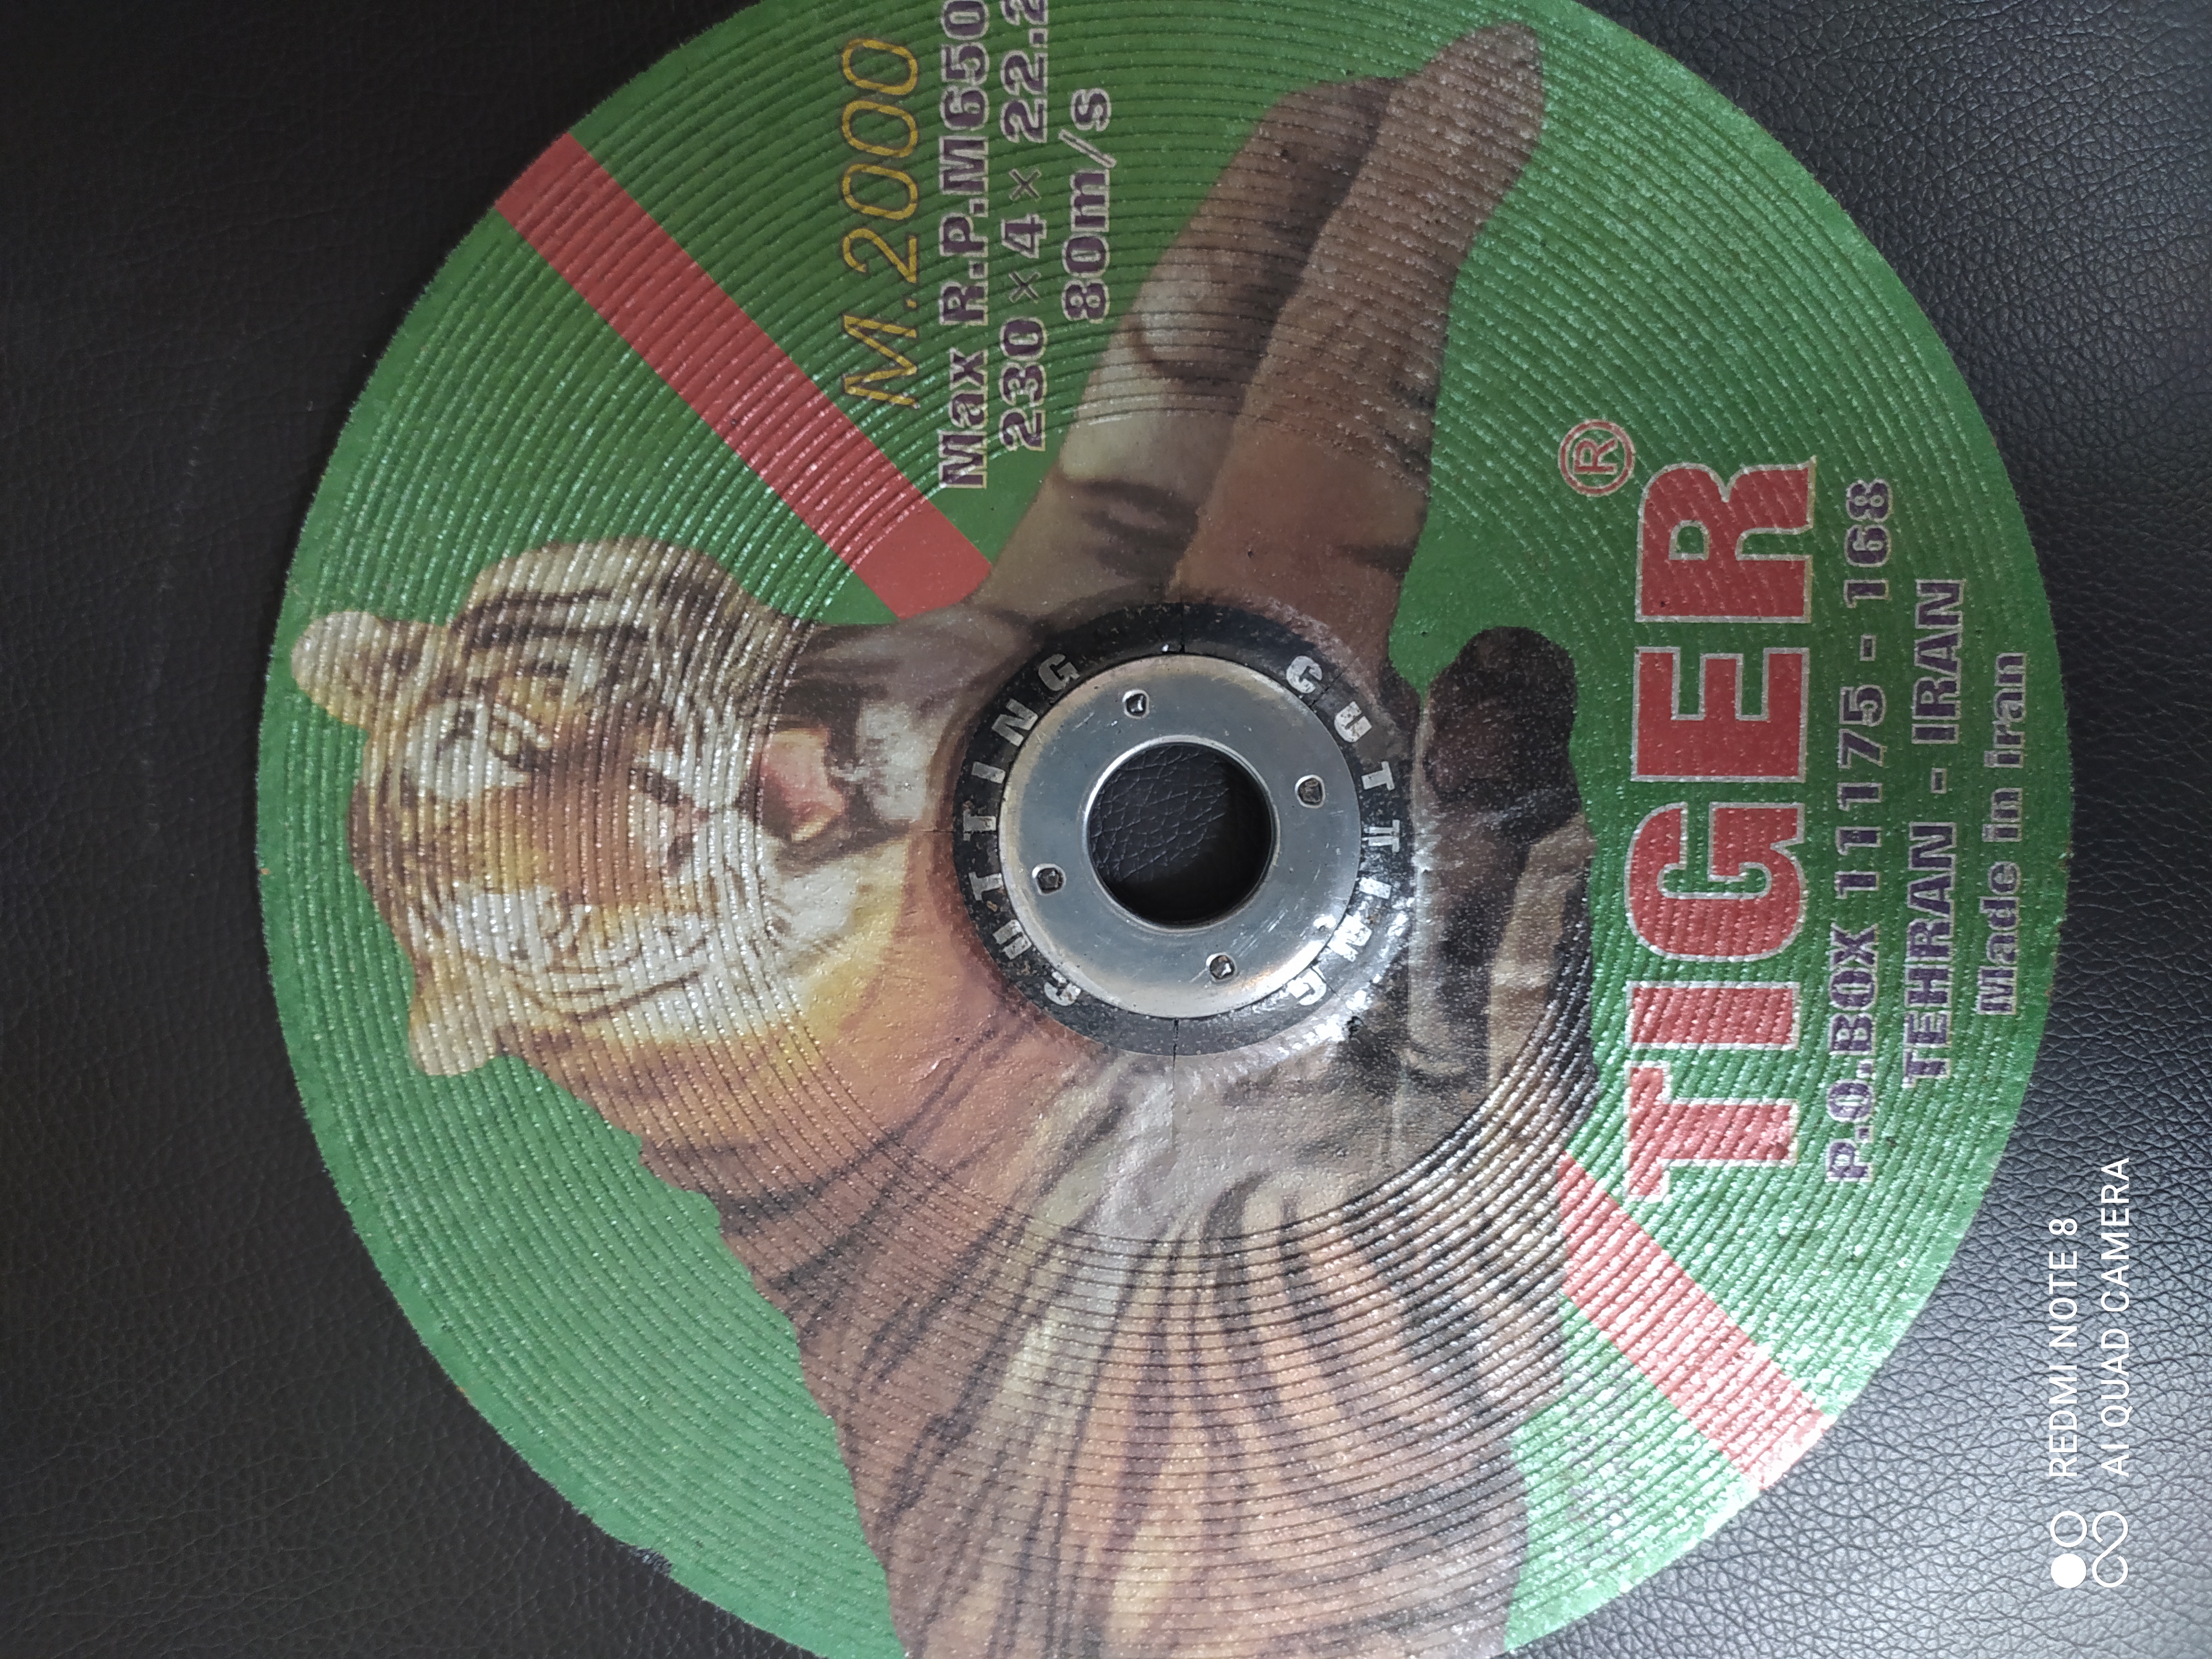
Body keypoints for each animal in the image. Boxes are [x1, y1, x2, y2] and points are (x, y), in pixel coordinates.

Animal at [291, 25, 1596, 1659]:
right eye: (570, 927)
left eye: (526, 754)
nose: (670, 813)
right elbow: (1320, 430)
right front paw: (1473, 107)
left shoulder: (1069, 557)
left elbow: (1173, 337)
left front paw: (1344, 108)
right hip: (1270, 1322)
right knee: (1487, 1137)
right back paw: (1496, 727)